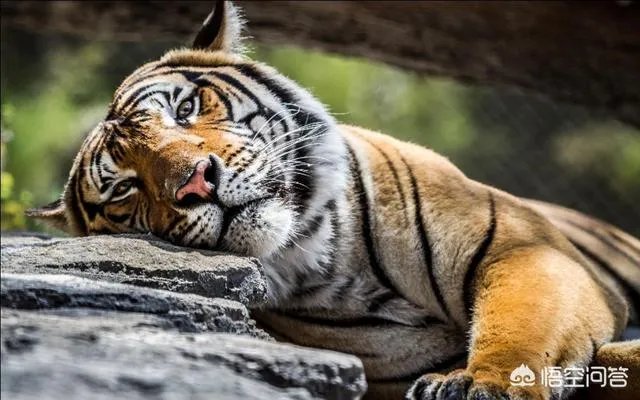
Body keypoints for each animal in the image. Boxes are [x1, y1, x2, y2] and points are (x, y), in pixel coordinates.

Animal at [27, 2, 640, 400]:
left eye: (184, 109)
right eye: (126, 187)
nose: (197, 182)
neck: (325, 252)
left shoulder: (522, 249)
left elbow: (520, 323)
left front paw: (480, 384)